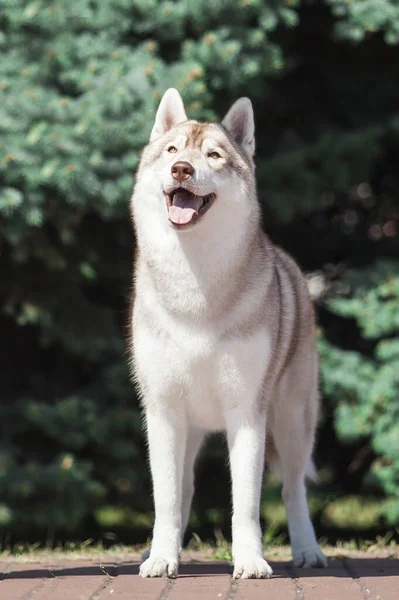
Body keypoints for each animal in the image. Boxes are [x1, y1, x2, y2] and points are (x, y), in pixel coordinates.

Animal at [131, 88, 328, 576]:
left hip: (292, 422)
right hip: (190, 431)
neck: (195, 286)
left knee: (293, 490)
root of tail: (288, 263)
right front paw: (161, 559)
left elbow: (247, 505)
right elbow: (167, 500)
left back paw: (308, 551)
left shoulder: (247, 412)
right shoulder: (162, 411)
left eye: (214, 156)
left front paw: (251, 561)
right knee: (184, 489)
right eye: (172, 151)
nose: (182, 170)